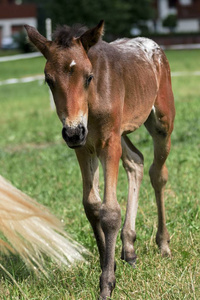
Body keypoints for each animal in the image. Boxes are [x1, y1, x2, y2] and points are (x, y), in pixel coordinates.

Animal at [25, 20, 175, 298]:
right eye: (48, 80)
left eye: (89, 76)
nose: (73, 131)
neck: (91, 103)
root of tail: (155, 47)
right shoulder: (84, 147)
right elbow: (91, 205)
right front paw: (110, 261)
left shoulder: (107, 143)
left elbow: (110, 211)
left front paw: (106, 283)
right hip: (120, 132)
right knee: (136, 161)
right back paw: (129, 248)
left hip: (160, 123)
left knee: (157, 174)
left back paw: (163, 244)